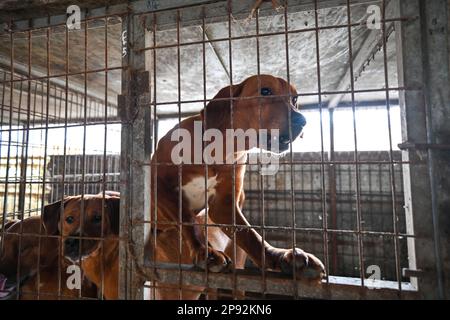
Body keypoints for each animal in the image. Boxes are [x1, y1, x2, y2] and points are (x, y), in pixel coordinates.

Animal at [146, 74, 326, 298]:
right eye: (265, 91)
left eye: (294, 99)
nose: (302, 120)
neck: (221, 150)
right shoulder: (160, 186)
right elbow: (187, 219)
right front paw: (204, 251)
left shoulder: (223, 206)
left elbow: (251, 235)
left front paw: (281, 257)